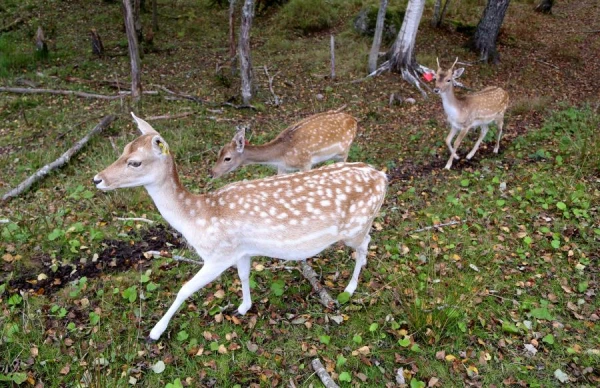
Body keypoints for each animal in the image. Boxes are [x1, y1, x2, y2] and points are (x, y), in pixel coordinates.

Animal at [211, 109, 356, 179]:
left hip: (344, 150)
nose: (211, 173)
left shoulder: (305, 162)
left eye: (227, 158)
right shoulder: (282, 167)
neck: (281, 156)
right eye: (218, 153)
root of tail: (354, 120)